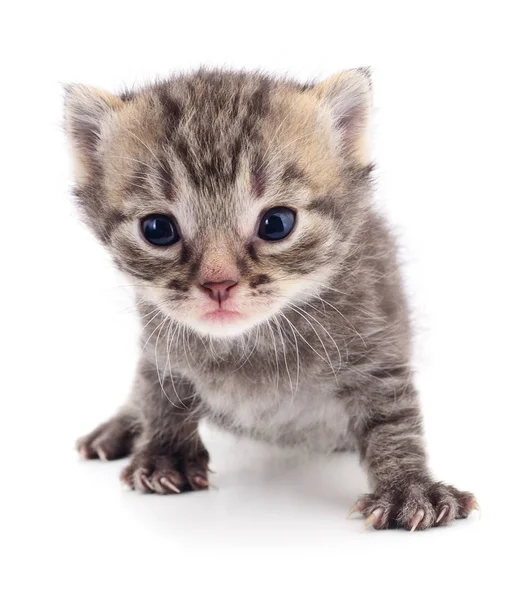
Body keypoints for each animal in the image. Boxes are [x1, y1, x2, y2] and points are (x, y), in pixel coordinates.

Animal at [65, 68, 474, 532]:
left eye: (277, 223)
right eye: (157, 229)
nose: (219, 283)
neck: (250, 342)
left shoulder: (377, 346)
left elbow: (392, 419)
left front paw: (408, 486)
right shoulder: (159, 340)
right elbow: (158, 390)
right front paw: (166, 452)